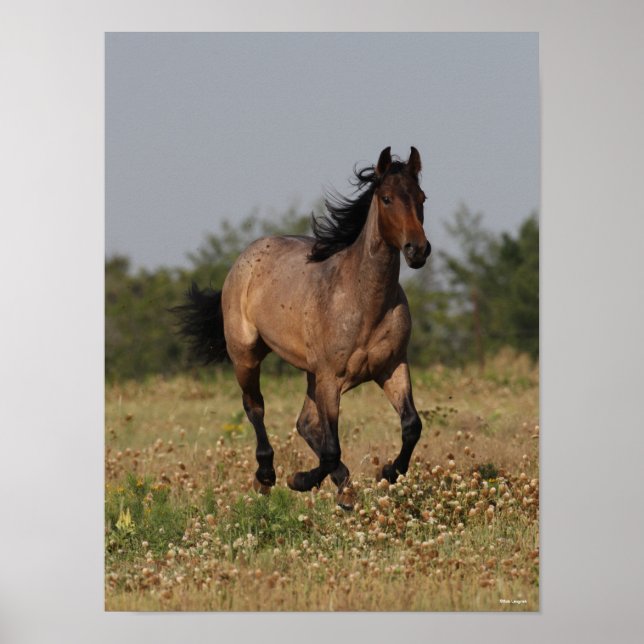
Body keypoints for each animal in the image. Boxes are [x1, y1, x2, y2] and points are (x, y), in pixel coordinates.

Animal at [173, 147, 431, 509]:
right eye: (387, 198)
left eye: (421, 197)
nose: (417, 250)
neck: (364, 300)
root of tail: (245, 256)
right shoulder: (331, 378)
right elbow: (331, 447)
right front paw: (299, 480)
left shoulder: (391, 367)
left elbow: (411, 426)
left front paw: (389, 472)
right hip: (247, 356)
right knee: (256, 407)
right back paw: (267, 476)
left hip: (312, 375)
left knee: (306, 423)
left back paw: (344, 487)